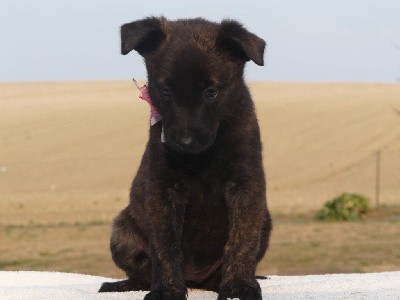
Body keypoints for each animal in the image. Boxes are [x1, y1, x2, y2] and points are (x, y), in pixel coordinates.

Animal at [101, 17, 272, 300]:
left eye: (211, 92)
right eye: (166, 90)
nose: (185, 141)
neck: (200, 159)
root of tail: (195, 279)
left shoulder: (245, 185)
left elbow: (242, 241)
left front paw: (239, 286)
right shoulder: (163, 188)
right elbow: (165, 246)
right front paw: (167, 289)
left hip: (266, 220)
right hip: (121, 231)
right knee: (141, 274)